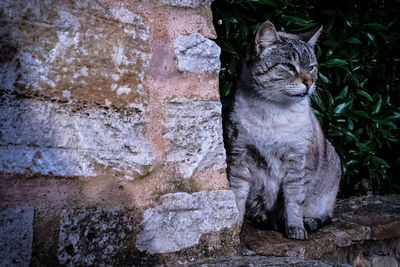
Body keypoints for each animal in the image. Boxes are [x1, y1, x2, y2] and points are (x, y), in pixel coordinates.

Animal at [225, 19, 340, 240]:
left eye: (311, 67)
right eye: (289, 66)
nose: (310, 82)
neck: (273, 112)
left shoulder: (297, 163)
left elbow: (294, 202)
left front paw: (295, 229)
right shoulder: (239, 156)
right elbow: (237, 196)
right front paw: (234, 228)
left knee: (325, 216)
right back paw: (262, 217)